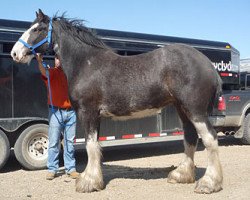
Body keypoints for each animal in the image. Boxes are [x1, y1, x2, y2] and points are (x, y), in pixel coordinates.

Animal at [11, 9, 223, 194]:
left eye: (37, 29)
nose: (14, 53)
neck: (86, 64)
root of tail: (208, 65)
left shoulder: (87, 112)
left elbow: (90, 145)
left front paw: (88, 182)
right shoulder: (96, 116)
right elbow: (95, 145)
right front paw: (94, 180)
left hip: (195, 110)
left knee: (210, 139)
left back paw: (209, 184)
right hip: (182, 109)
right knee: (190, 137)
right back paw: (181, 175)